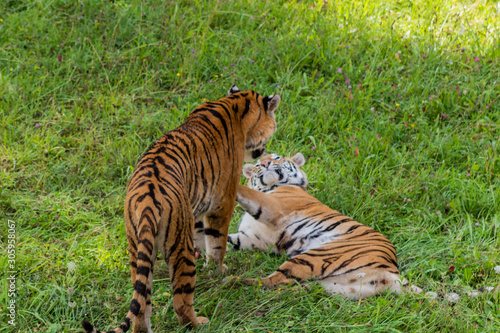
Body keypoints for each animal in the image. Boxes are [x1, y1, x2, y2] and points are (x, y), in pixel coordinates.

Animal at [80, 86, 280, 332]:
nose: (264, 151)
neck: (236, 103)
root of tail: (147, 202)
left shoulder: (195, 210)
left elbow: (201, 237)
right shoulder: (222, 203)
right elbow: (217, 244)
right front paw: (216, 270)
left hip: (138, 252)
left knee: (141, 305)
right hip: (179, 250)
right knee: (181, 302)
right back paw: (199, 323)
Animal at [227, 153, 492, 300]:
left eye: (276, 157)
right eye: (258, 164)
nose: (264, 163)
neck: (272, 187)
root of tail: (392, 271)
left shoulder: (273, 207)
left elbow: (246, 192)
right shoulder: (252, 237)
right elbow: (227, 241)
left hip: (316, 255)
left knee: (274, 281)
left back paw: (233, 282)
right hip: (332, 287)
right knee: (287, 286)